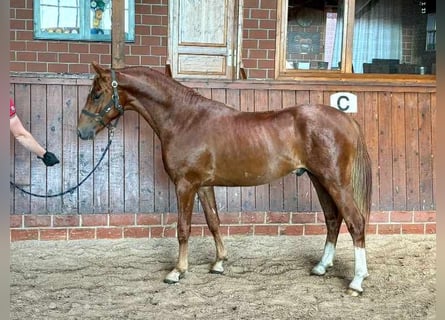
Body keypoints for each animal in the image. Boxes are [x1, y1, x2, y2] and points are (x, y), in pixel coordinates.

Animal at [77, 62, 372, 296]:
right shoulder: (203, 186)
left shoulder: (185, 185)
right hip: (319, 179)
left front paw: (177, 271)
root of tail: (346, 119)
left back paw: (356, 281)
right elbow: (214, 222)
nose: (82, 131)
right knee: (333, 219)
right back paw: (321, 266)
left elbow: (183, 229)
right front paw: (219, 262)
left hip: (335, 181)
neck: (185, 120)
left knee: (355, 222)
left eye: (97, 93)